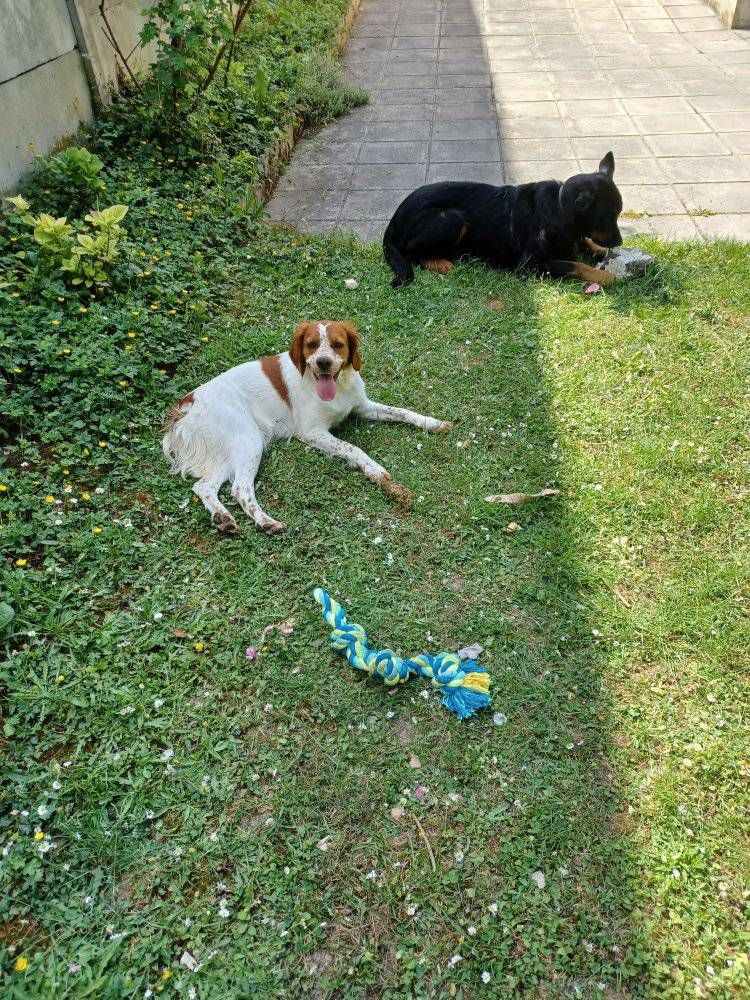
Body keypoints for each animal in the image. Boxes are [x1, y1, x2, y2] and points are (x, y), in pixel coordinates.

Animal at [164, 324, 452, 536]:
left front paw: (433, 423)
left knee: (203, 486)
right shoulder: (312, 432)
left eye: (338, 344)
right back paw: (266, 522)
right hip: (249, 440)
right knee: (240, 488)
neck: (335, 387)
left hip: (229, 452)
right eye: (311, 344)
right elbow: (352, 447)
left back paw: (222, 517)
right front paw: (374, 470)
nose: (323, 362)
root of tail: (184, 406)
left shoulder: (362, 406)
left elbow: (402, 411)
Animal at [384, 152, 624, 288]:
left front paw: (608, 252)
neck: (559, 207)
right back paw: (440, 262)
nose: (620, 242)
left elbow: (586, 242)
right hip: (450, 220)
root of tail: (394, 221)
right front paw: (606, 276)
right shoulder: (529, 265)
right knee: (411, 253)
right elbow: (576, 264)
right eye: (609, 216)